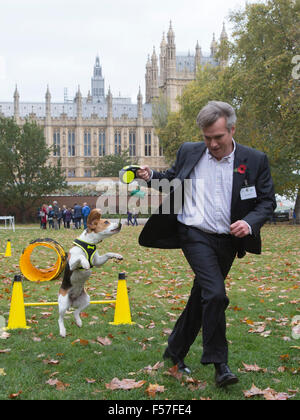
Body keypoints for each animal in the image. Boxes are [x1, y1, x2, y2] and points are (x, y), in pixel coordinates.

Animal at [58, 210, 122, 338]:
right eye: (106, 222)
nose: (120, 224)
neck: (89, 244)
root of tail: (72, 301)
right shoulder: (72, 263)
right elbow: (81, 257)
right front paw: (85, 263)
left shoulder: (97, 261)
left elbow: (107, 254)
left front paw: (116, 255)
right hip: (63, 304)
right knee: (60, 319)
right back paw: (62, 331)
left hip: (87, 300)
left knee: (76, 312)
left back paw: (78, 321)